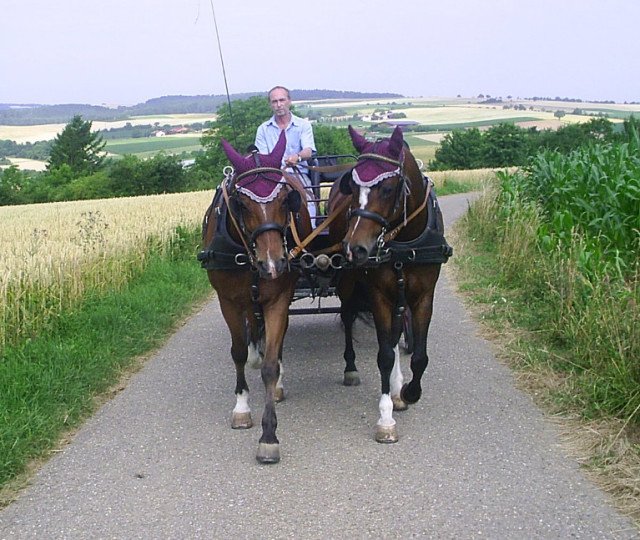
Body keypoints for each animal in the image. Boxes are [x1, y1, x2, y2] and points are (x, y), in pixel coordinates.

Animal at [199, 132, 312, 464]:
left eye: (285, 199)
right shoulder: (228, 301)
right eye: (242, 203)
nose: (272, 264)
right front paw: (241, 407)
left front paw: (269, 436)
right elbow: (237, 352)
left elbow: (271, 365)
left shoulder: (278, 299)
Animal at [330, 125, 450, 442]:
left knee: (395, 334)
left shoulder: (424, 296)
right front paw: (385, 418)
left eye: (386, 188)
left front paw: (408, 392)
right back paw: (351, 368)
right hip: (349, 284)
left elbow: (418, 356)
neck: (404, 242)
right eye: (352, 187)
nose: (355, 248)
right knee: (349, 316)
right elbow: (384, 354)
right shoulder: (379, 295)